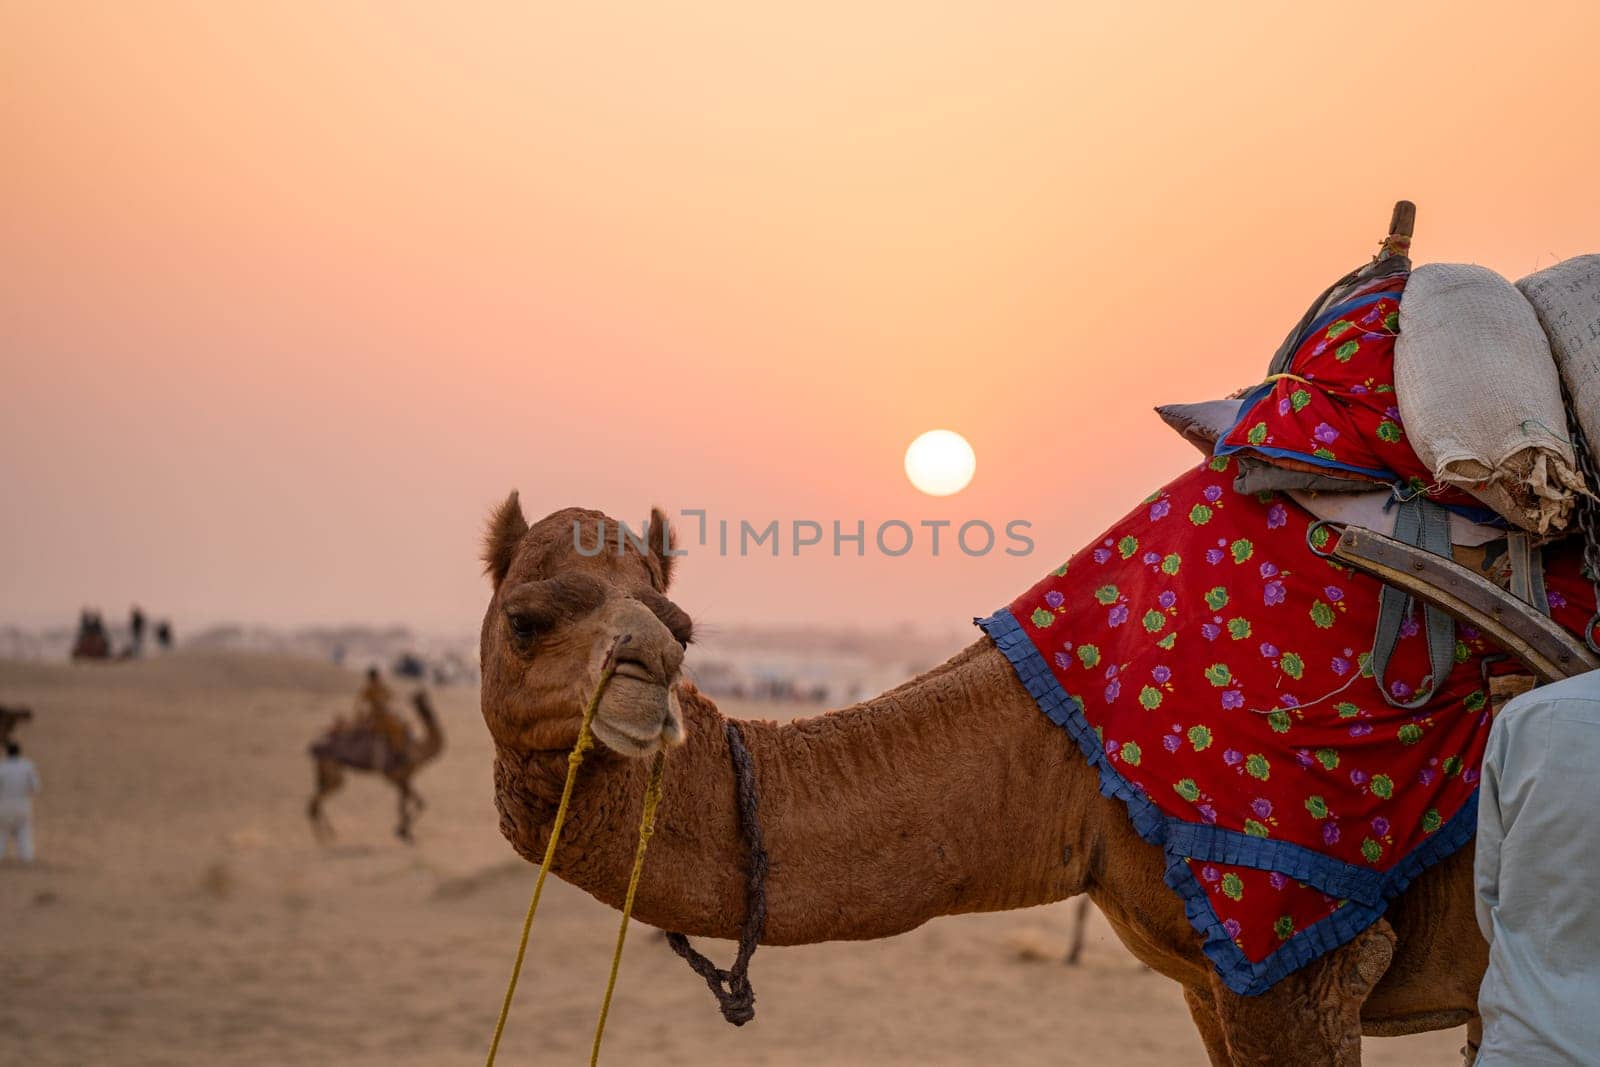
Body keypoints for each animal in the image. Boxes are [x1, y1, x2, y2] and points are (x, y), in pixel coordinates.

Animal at [307, 694, 448, 844]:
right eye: (421, 698)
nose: (427, 706)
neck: (420, 750)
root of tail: (314, 748)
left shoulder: (402, 779)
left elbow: (404, 804)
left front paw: (402, 832)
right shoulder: (398, 776)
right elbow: (419, 803)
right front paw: (404, 833)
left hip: (329, 770)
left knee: (314, 803)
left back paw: (327, 835)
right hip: (332, 770)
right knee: (314, 804)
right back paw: (324, 838)